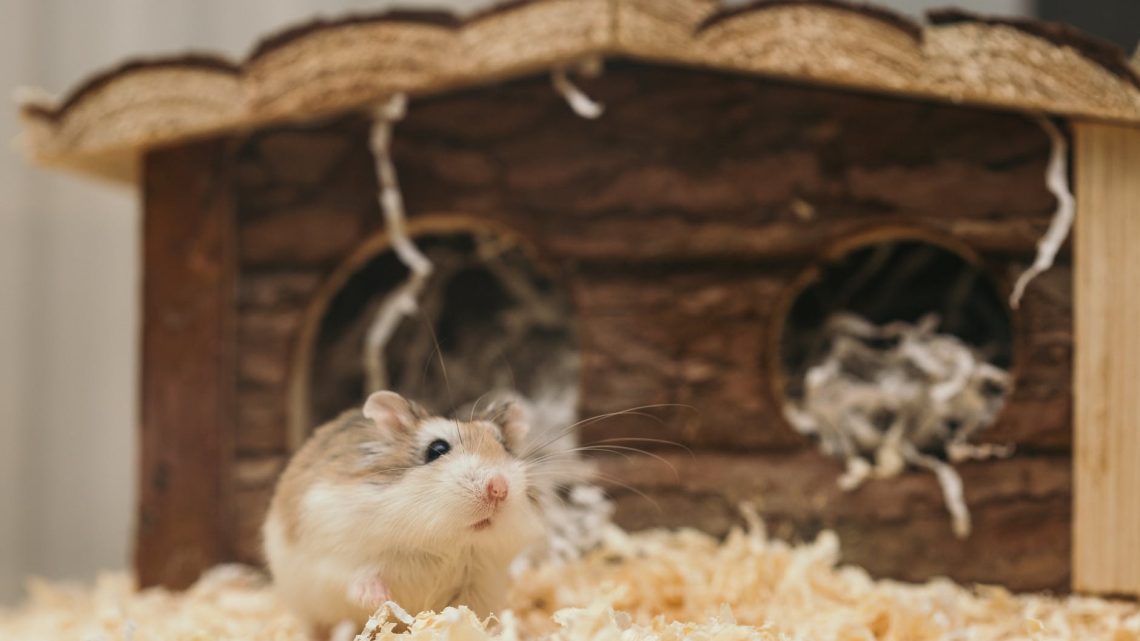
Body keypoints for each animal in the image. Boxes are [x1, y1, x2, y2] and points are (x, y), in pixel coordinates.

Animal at [262, 390, 546, 635]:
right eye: (437, 449)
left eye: (504, 447)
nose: (499, 488)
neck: (445, 543)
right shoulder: (335, 555)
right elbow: (357, 577)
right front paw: (381, 598)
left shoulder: (480, 583)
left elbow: (468, 613)